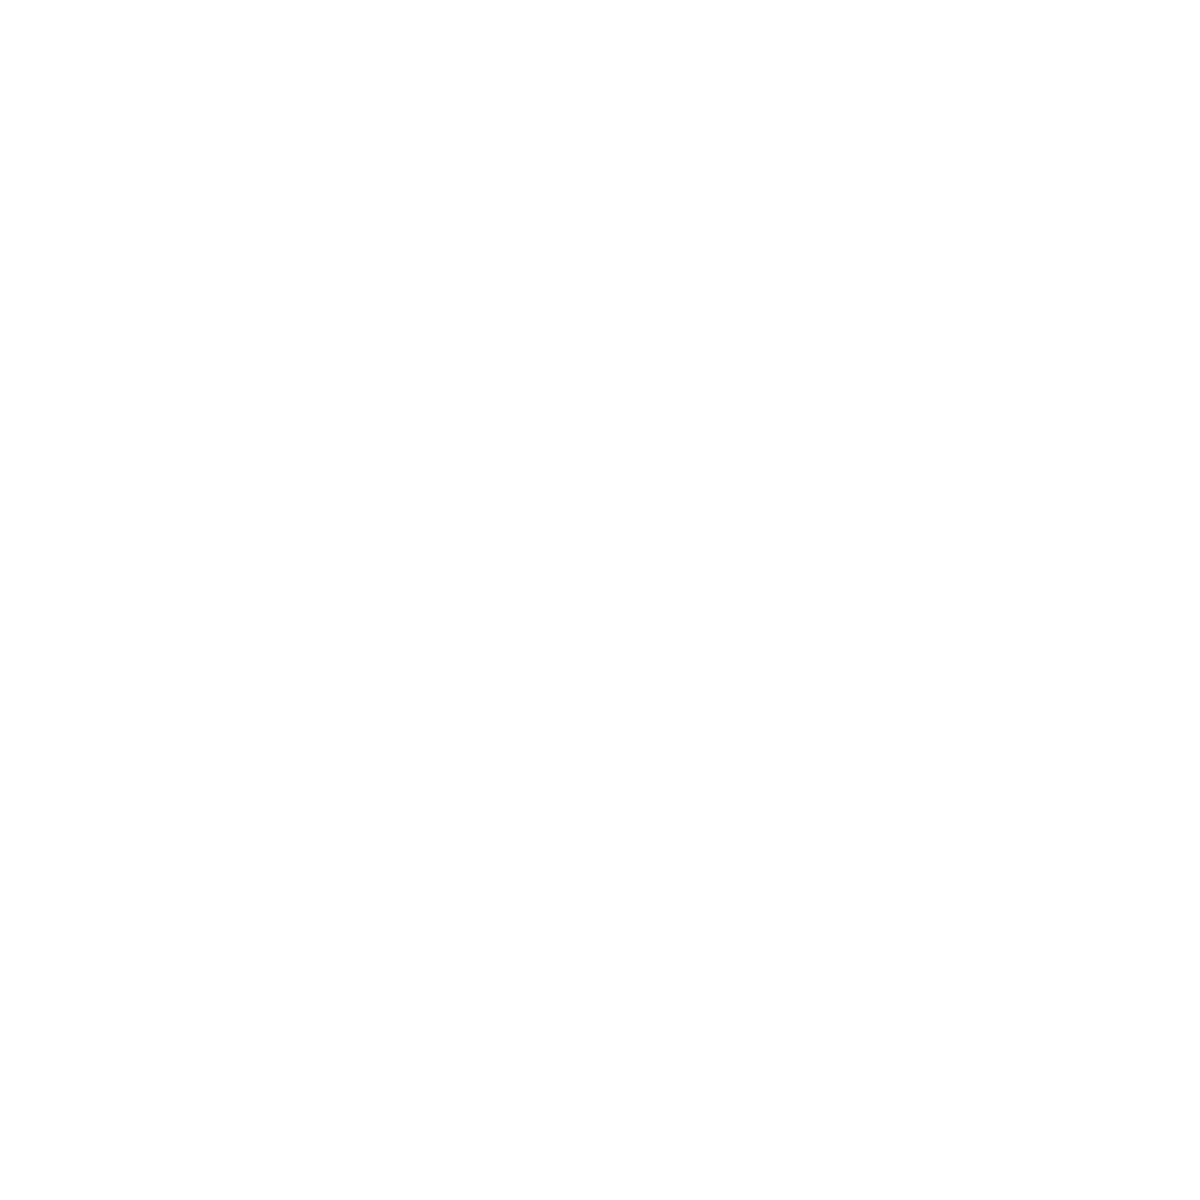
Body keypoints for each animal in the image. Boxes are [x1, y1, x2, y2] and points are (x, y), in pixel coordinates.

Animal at [374, 124, 824, 1131]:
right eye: (744, 201)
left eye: (792, 201)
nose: (797, 265)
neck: (581, 549)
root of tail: (380, 661)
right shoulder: (522, 752)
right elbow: (510, 909)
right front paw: (509, 1099)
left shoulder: (595, 746)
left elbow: (588, 913)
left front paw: (587, 1088)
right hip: (411, 781)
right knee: (431, 908)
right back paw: (464, 1087)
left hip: (461, 794)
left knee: (451, 897)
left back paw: (466, 1078)